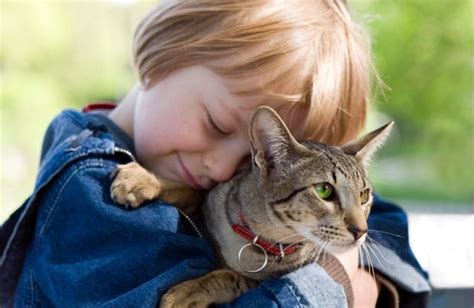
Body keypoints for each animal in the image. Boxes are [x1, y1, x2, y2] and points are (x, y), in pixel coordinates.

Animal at [110, 104, 392, 306]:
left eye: (364, 195)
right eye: (324, 190)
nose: (362, 231)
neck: (258, 238)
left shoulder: (266, 279)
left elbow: (232, 276)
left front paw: (188, 292)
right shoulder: (211, 198)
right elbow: (191, 189)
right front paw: (142, 179)